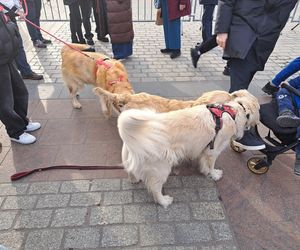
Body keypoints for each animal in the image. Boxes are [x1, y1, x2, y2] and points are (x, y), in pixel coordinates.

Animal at [117, 90, 260, 207]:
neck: (232, 112)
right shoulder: (213, 150)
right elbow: (211, 165)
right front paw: (214, 174)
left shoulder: (205, 149)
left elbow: (203, 163)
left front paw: (205, 171)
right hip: (162, 167)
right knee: (155, 188)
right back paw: (164, 201)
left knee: (131, 171)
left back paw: (135, 179)